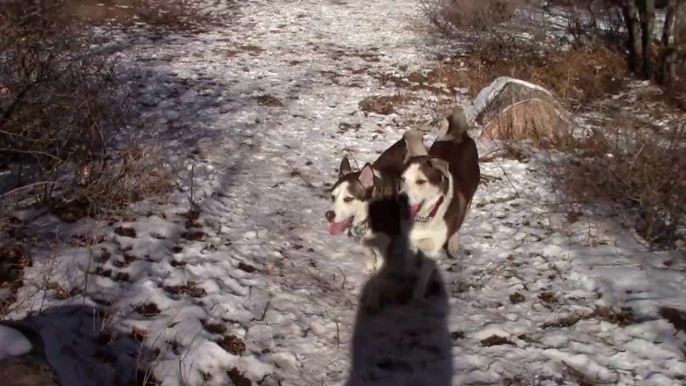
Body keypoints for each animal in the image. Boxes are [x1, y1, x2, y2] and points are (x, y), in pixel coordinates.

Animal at [326, 134, 422, 272]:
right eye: (333, 196)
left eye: (348, 199)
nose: (328, 215)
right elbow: (368, 251)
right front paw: (370, 264)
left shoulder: (387, 239)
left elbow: (381, 256)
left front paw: (378, 268)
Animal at [400, 106, 482, 302]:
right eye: (403, 179)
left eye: (421, 181)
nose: (401, 198)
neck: (425, 217)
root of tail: (459, 136)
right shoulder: (409, 242)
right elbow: (409, 269)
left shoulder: (432, 249)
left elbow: (422, 279)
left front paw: (416, 299)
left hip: (470, 196)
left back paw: (453, 247)